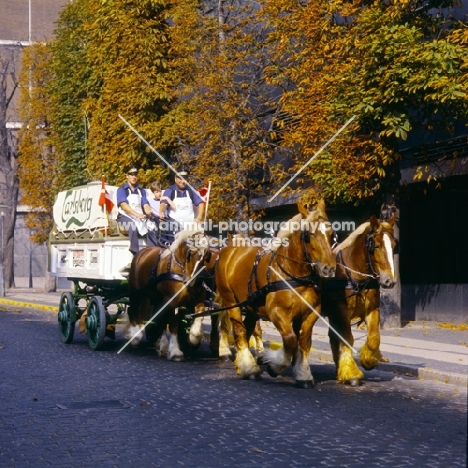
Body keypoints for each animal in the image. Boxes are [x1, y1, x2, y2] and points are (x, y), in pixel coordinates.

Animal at [126, 230, 210, 362]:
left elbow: (199, 317)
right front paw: (175, 351)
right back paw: (135, 337)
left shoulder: (198, 300)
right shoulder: (170, 301)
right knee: (132, 310)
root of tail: (143, 251)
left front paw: (193, 338)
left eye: (206, 257)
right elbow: (173, 324)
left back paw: (162, 345)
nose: (192, 281)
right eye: (190, 253)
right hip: (136, 293)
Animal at [216, 201, 366, 388]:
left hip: (251, 305)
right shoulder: (276, 312)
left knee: (248, 329)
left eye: (332, 234)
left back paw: (242, 364)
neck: (295, 274)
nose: (329, 268)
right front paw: (275, 365)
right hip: (231, 301)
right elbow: (290, 340)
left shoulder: (310, 313)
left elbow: (303, 342)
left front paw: (303, 374)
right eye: (308, 234)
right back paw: (249, 369)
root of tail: (229, 249)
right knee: (239, 331)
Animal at [324, 215, 396, 372]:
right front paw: (350, 370)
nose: (390, 281)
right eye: (376, 245)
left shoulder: (372, 309)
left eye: (394, 246)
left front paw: (369, 359)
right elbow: (347, 338)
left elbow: (374, 338)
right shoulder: (342, 310)